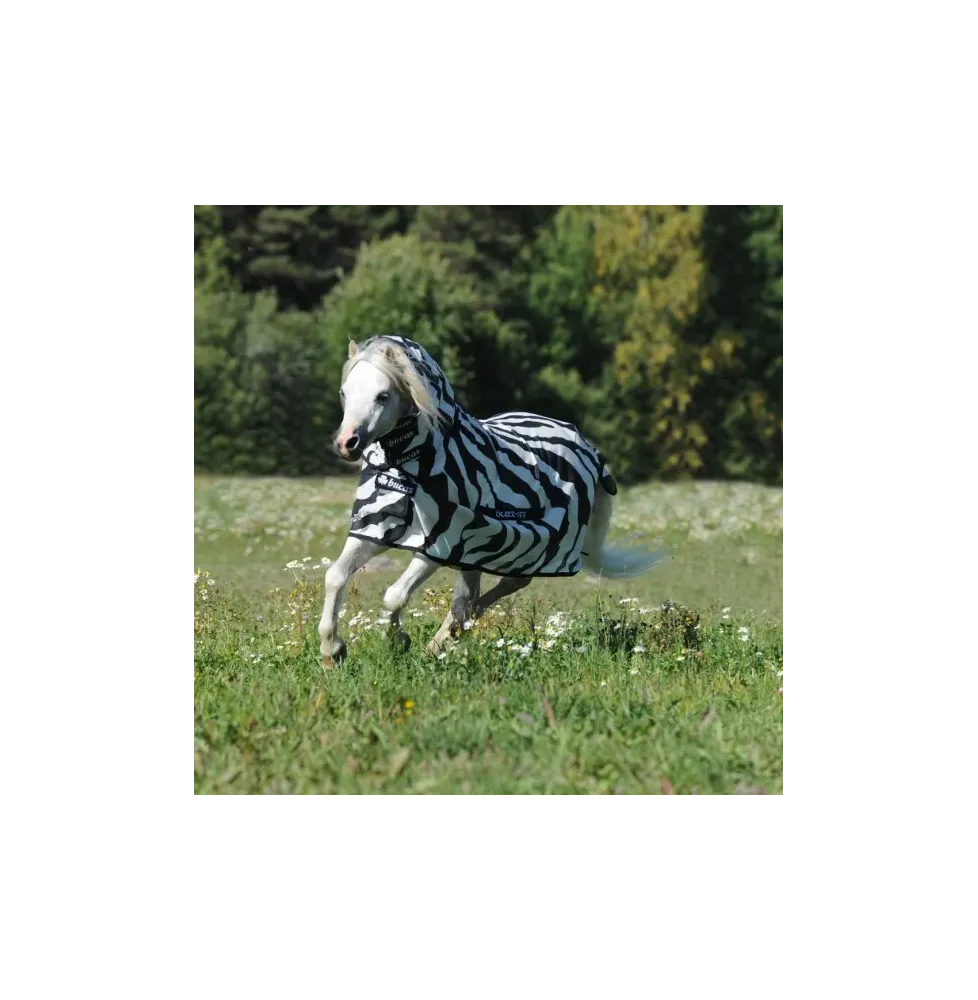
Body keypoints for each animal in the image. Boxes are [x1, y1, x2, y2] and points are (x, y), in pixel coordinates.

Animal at [319, 335, 663, 668]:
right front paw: (332, 651)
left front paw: (397, 641)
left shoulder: (441, 541)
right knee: (470, 597)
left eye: (382, 396)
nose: (346, 443)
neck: (412, 465)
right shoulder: (375, 526)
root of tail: (589, 450)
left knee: (500, 588)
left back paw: (446, 637)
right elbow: (335, 576)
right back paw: (443, 640)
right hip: (478, 549)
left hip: (524, 544)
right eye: (344, 392)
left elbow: (395, 595)